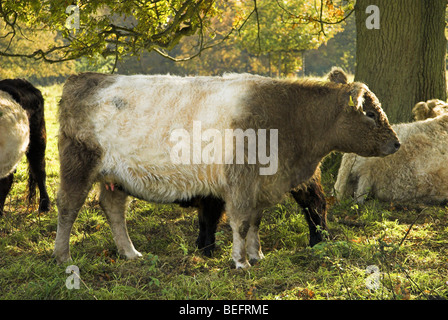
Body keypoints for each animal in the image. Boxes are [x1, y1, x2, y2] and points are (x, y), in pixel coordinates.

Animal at [53, 72, 400, 268]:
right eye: (370, 113)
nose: (396, 143)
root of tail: (83, 77)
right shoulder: (241, 181)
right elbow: (241, 222)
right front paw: (240, 261)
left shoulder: (261, 184)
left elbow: (255, 222)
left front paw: (257, 256)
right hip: (78, 163)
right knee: (68, 207)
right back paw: (62, 255)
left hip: (115, 176)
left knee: (113, 209)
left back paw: (129, 253)